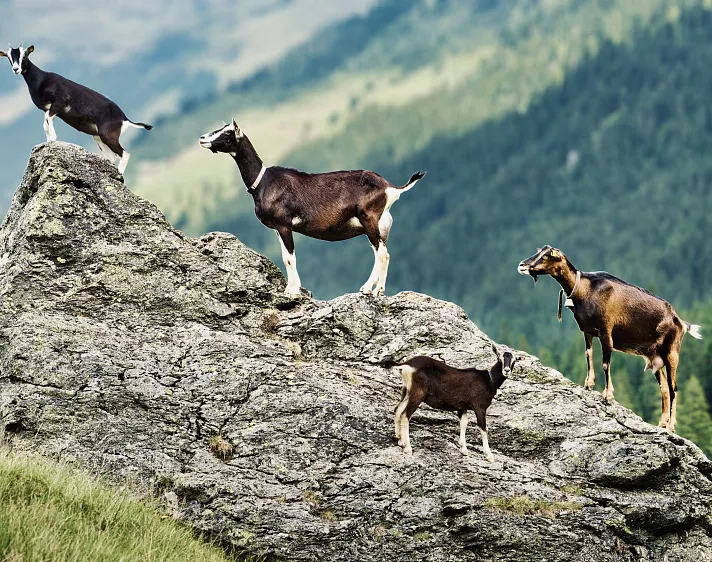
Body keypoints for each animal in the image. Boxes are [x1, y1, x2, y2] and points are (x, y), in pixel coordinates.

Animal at [0, 43, 152, 174]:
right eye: (8, 57)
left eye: (24, 56)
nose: (16, 69)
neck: (42, 80)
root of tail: (124, 118)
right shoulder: (48, 108)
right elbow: (45, 121)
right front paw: (48, 139)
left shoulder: (60, 102)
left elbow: (48, 118)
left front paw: (53, 139)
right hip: (98, 137)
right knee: (112, 157)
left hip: (108, 135)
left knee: (124, 154)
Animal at [198, 120, 425, 296]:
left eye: (228, 132)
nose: (202, 138)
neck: (262, 182)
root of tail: (390, 188)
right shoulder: (278, 228)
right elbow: (285, 256)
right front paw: (290, 288)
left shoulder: (284, 223)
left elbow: (290, 258)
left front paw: (293, 291)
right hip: (380, 227)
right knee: (383, 253)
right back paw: (378, 290)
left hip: (369, 218)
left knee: (382, 254)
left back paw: (368, 289)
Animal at [390, 345, 518, 461]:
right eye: (499, 358)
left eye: (514, 360)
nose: (507, 370)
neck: (489, 381)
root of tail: (406, 364)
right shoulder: (480, 407)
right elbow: (483, 428)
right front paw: (489, 456)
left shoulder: (462, 407)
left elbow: (464, 423)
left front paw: (464, 450)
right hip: (418, 393)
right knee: (405, 415)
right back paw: (408, 448)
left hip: (407, 391)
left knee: (398, 410)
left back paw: (400, 440)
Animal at [518, 245, 702, 432]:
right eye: (539, 252)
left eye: (546, 256)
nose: (522, 265)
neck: (585, 289)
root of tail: (680, 322)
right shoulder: (587, 332)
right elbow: (588, 355)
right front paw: (588, 384)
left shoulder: (606, 332)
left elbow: (605, 364)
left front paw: (607, 395)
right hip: (654, 357)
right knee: (664, 387)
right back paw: (662, 423)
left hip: (671, 352)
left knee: (673, 388)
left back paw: (671, 426)